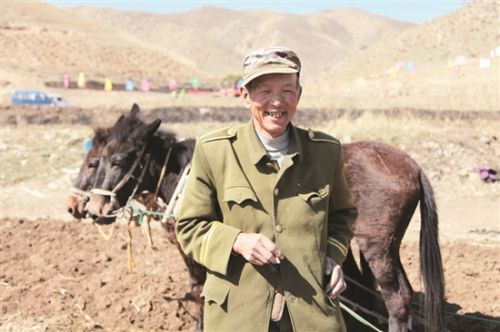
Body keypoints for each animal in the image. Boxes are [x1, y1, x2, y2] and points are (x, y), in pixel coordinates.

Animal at [75, 105, 446, 330]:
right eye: (98, 160)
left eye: (117, 161)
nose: (89, 209)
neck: (184, 178)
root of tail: (411, 163)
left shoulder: (198, 253)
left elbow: (199, 293)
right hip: (381, 246)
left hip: (376, 245)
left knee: (396, 298)